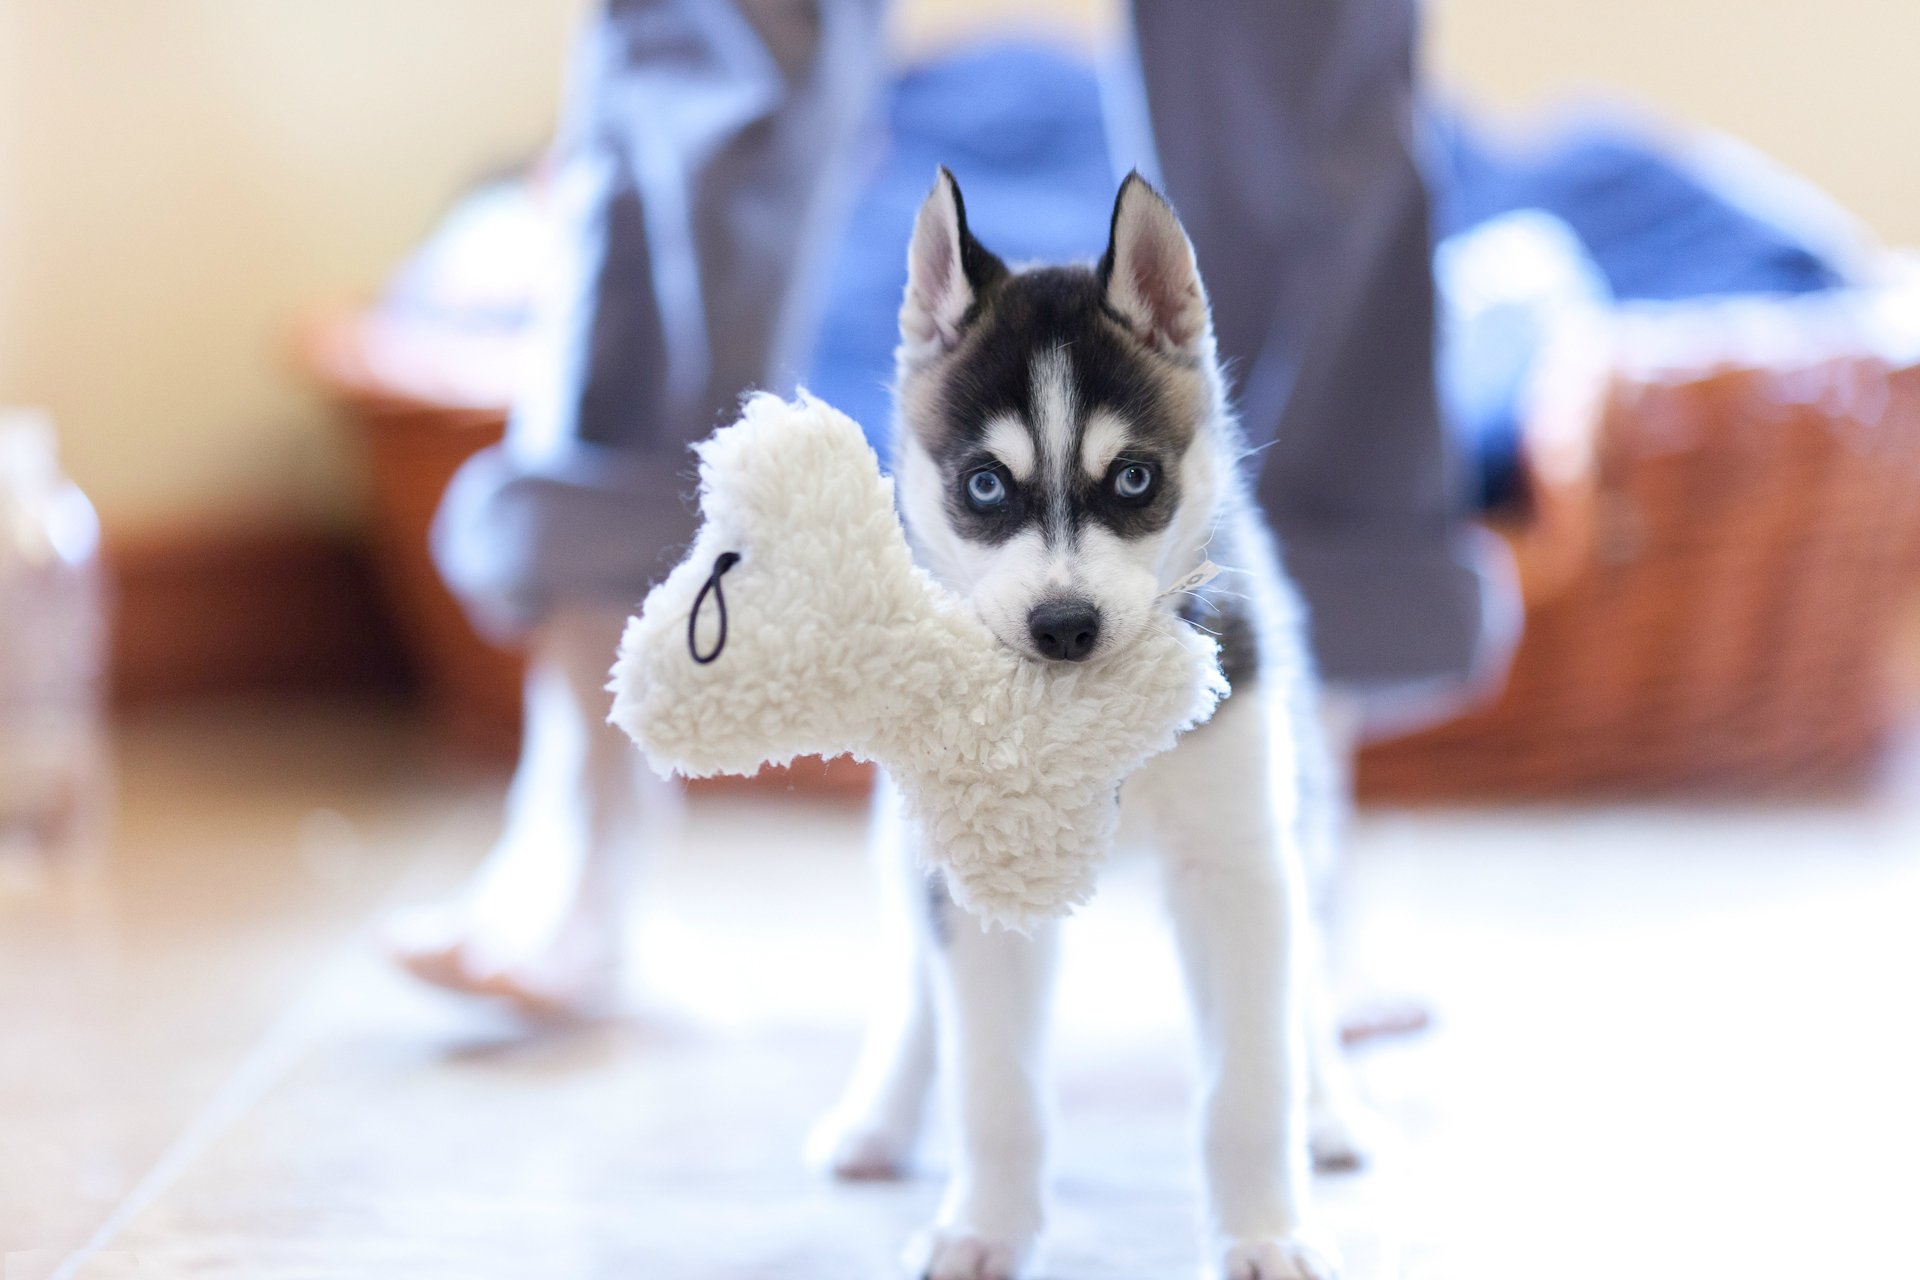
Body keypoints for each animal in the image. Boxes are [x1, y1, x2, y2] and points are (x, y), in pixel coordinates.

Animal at [810, 172, 1367, 1280]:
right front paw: (983, 1226)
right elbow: (992, 1084)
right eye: (985, 484)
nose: (1065, 625)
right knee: (915, 987)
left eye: (1135, 479)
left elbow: (1251, 1079)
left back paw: (1327, 1106)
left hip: (1300, 809)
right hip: (904, 842)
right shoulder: (972, 888)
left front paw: (1265, 1229)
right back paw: (881, 1114)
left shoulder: (1237, 866)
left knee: (1308, 984)